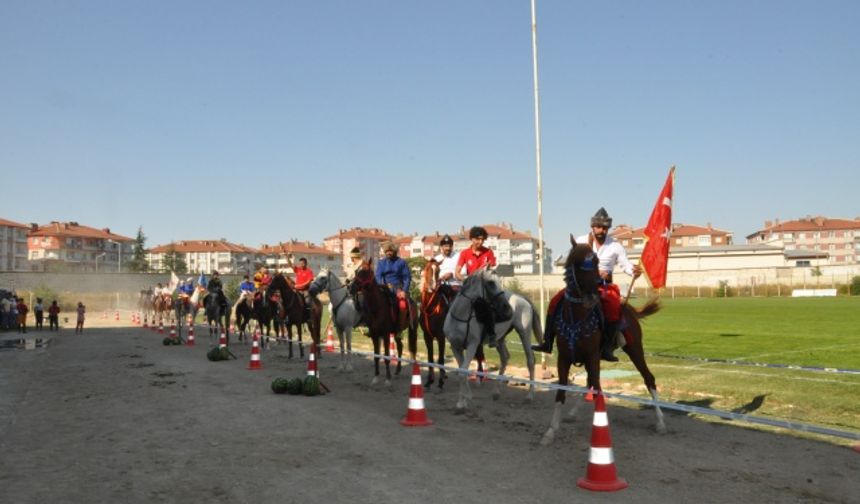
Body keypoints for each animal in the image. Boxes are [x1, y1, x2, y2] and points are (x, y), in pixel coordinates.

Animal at [440, 268, 540, 414]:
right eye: (491, 283)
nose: (507, 308)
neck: (461, 316)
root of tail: (522, 298)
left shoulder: (472, 345)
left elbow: (463, 371)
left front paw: (466, 398)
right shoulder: (455, 347)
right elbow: (462, 371)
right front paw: (461, 402)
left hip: (524, 334)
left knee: (530, 361)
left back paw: (530, 395)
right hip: (500, 338)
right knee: (505, 358)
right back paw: (496, 393)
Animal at [536, 234, 664, 446]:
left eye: (596, 261)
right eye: (577, 263)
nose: (592, 297)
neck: (577, 316)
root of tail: (628, 310)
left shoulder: (592, 356)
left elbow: (598, 391)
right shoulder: (565, 358)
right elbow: (562, 391)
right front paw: (550, 431)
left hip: (634, 349)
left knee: (648, 378)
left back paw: (661, 421)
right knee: (590, 382)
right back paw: (572, 413)